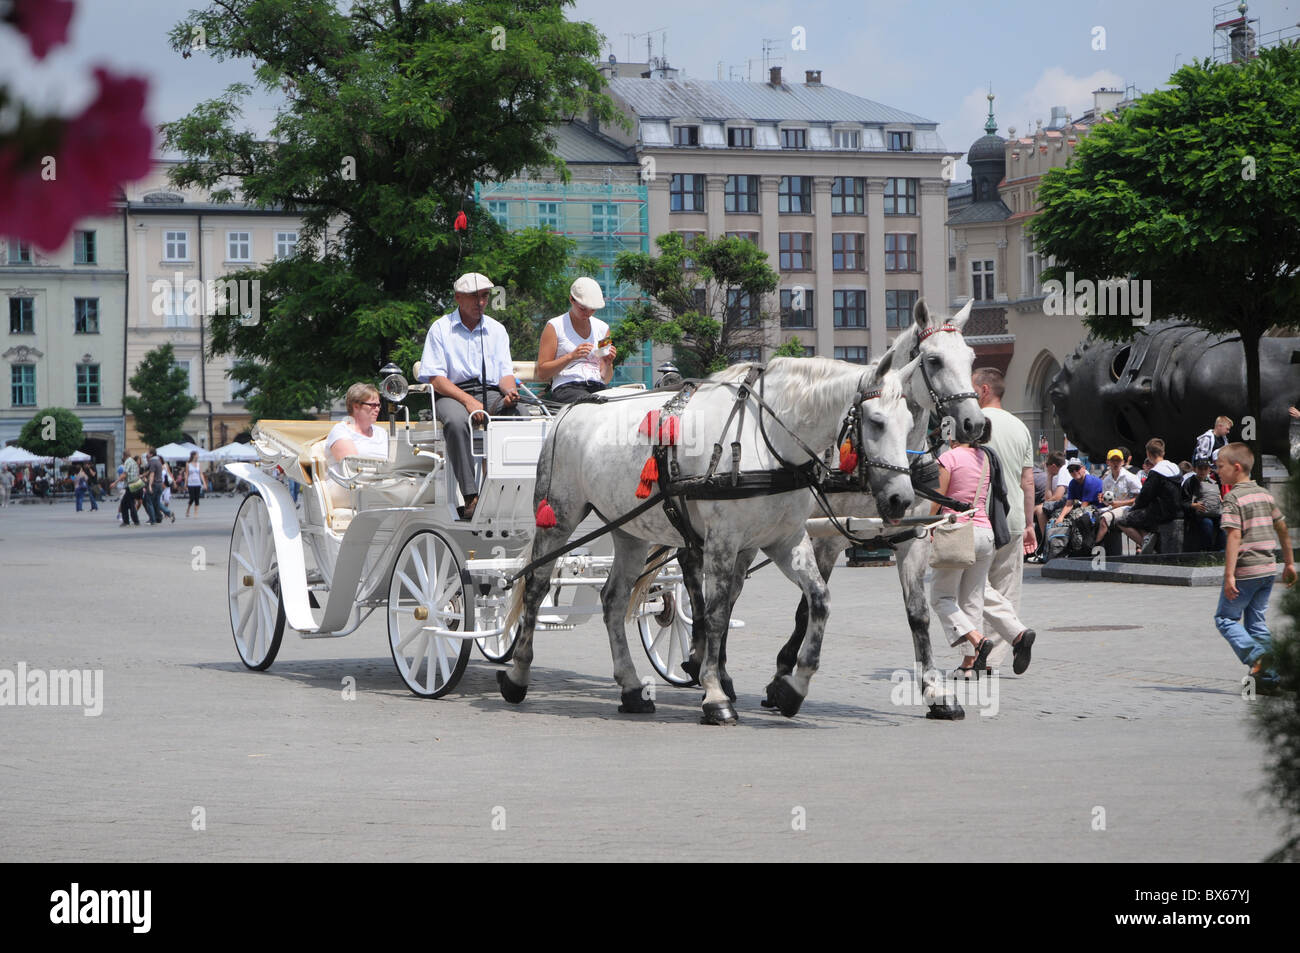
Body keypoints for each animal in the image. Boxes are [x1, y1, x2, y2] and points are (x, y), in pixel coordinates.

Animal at [496, 356, 915, 722]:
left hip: (629, 529)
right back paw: (518, 675)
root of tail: (569, 410)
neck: (766, 438)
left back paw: (631, 687)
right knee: (535, 586)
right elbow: (714, 614)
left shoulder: (785, 540)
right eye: (876, 422)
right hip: (559, 514)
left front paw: (792, 688)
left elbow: (818, 600)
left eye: (910, 423)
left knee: (613, 599)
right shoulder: (722, 541)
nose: (902, 499)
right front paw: (715, 694)